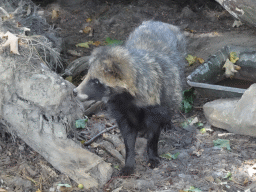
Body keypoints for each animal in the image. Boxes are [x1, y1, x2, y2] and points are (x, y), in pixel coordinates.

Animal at [73, 20, 186, 176]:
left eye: (95, 81)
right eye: (88, 76)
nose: (74, 91)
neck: (125, 98)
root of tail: (160, 22)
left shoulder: (154, 105)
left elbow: (153, 133)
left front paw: (152, 154)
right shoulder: (121, 111)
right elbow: (127, 137)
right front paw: (129, 160)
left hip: (176, 74)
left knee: (173, 97)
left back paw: (167, 121)